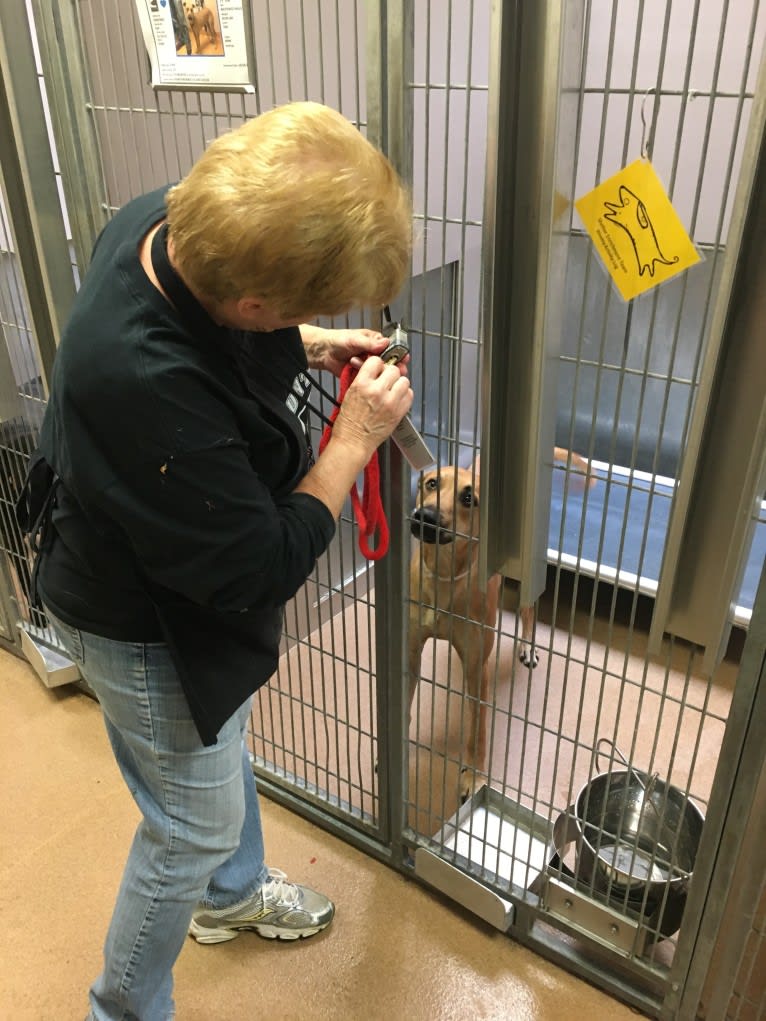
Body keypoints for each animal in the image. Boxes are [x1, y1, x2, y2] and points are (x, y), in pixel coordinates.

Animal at [408, 451, 592, 792]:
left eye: (469, 498)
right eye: (431, 483)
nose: (425, 516)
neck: (444, 575)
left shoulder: (477, 669)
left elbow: (477, 731)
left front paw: (475, 775)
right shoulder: (411, 654)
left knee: (528, 611)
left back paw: (528, 646)